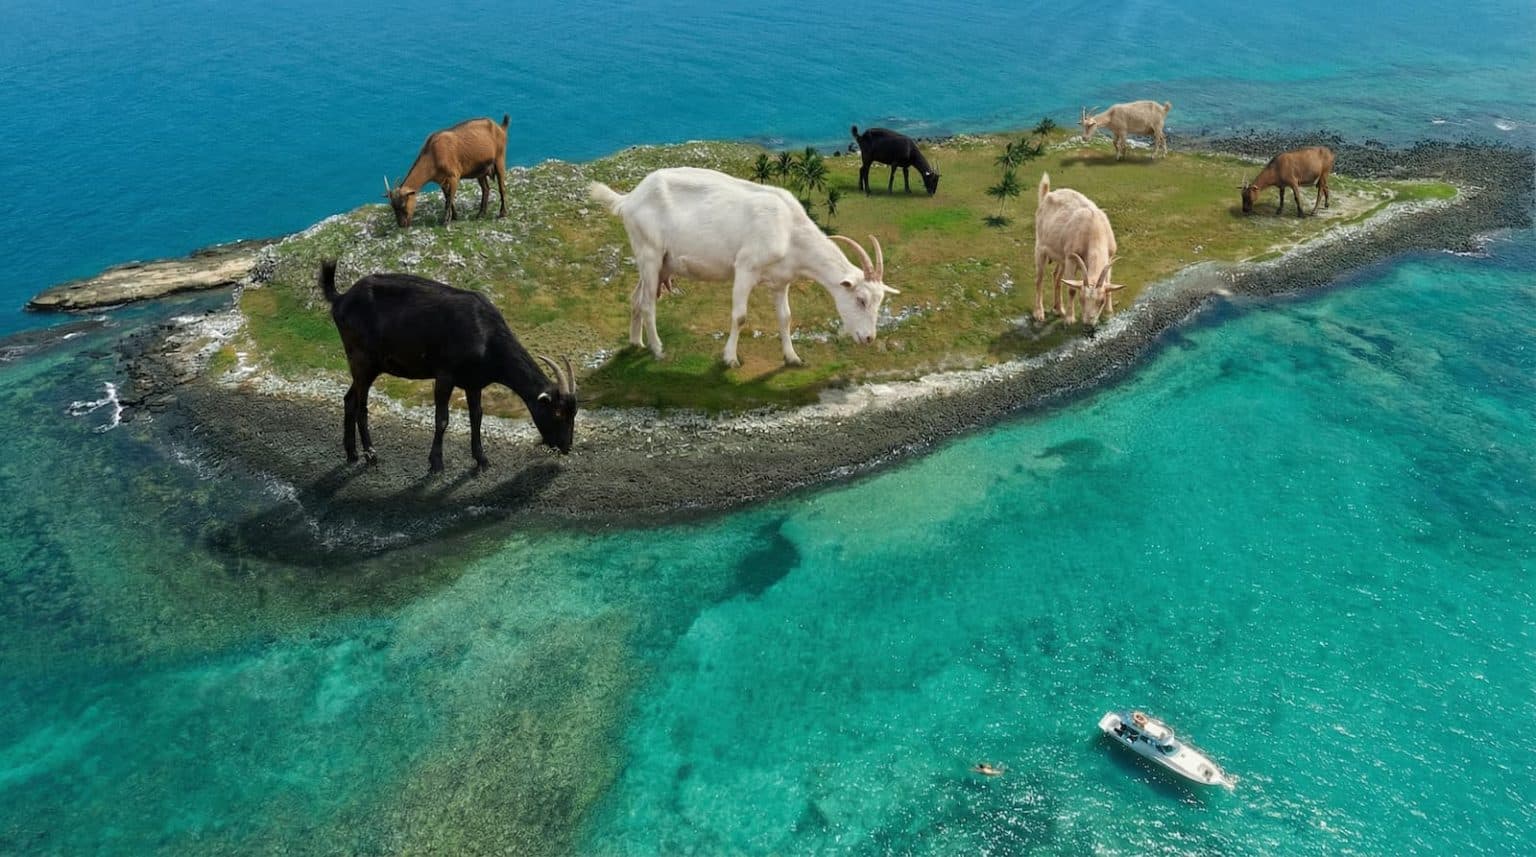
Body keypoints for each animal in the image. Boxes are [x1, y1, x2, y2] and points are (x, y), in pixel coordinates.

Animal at [319, 260, 576, 472]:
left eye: (573, 412)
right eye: (557, 412)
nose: (566, 447)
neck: (486, 335)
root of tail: (341, 298)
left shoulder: (474, 382)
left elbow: (477, 416)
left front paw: (482, 459)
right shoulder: (445, 374)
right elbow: (442, 418)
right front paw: (436, 463)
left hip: (369, 366)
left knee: (350, 400)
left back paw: (352, 453)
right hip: (362, 358)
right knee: (361, 406)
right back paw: (371, 455)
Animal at [589, 167, 899, 367]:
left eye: (880, 301)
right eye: (861, 299)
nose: (869, 338)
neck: (789, 230)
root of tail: (629, 199)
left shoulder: (781, 281)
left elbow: (786, 317)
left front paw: (792, 357)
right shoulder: (746, 268)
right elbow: (740, 317)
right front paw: (730, 359)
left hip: (656, 260)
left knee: (637, 298)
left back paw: (636, 343)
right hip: (650, 252)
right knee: (648, 303)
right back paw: (657, 349)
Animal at [1033, 173, 1126, 325]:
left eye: (1101, 301)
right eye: (1081, 299)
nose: (1088, 322)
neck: (1094, 230)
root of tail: (1047, 195)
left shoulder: (1110, 257)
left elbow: (1109, 285)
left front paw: (1108, 313)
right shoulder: (1072, 258)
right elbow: (1071, 289)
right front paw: (1070, 319)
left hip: (1061, 257)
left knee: (1056, 276)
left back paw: (1059, 309)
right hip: (1041, 247)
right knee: (1039, 279)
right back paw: (1039, 313)